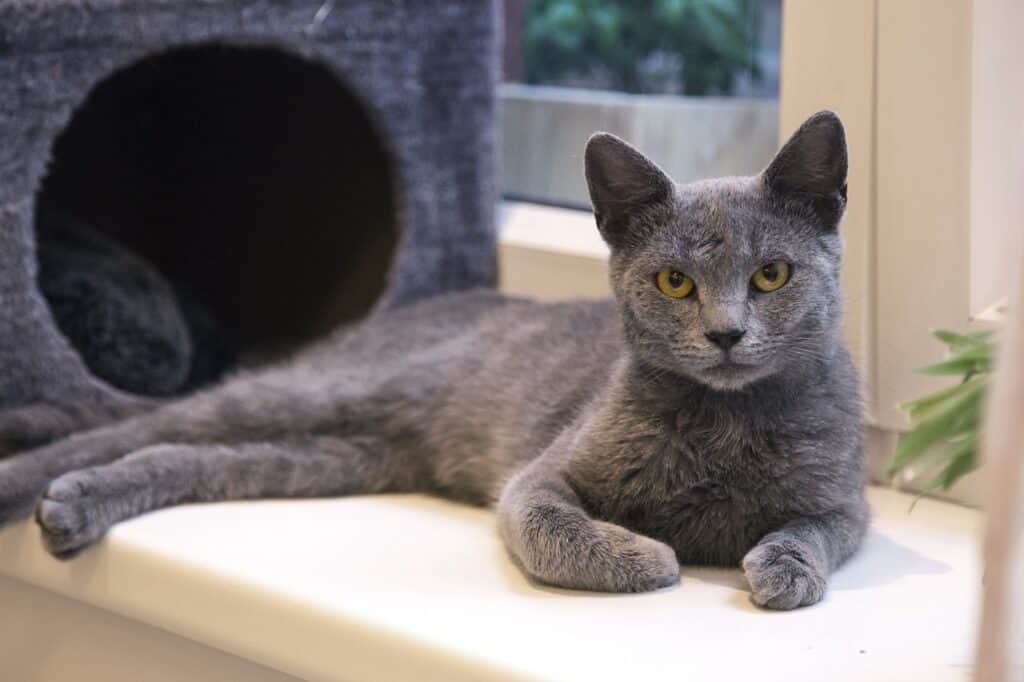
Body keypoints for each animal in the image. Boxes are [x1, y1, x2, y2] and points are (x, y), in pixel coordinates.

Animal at [0, 110, 864, 606]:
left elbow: (821, 530)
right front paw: (650, 555)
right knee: (141, 421)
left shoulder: (846, 500)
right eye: (675, 281)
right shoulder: (540, 475)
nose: (725, 334)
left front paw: (785, 567)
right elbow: (550, 524)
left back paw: (71, 496)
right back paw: (38, 483)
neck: (724, 426)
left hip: (339, 455)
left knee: (183, 452)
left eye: (772, 274)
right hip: (327, 390)